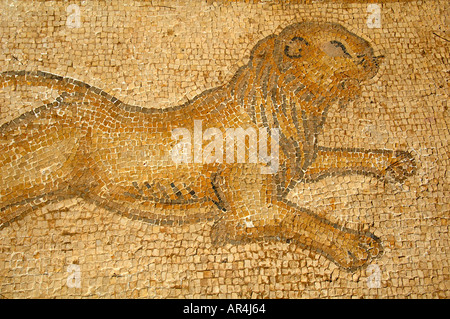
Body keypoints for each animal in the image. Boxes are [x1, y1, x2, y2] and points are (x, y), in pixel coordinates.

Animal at [0, 21, 414, 272]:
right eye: (338, 45)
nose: (374, 57)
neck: (292, 110)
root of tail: (75, 98)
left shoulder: (302, 161)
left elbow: (347, 154)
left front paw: (395, 162)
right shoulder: (248, 213)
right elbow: (303, 218)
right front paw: (355, 243)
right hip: (30, 169)